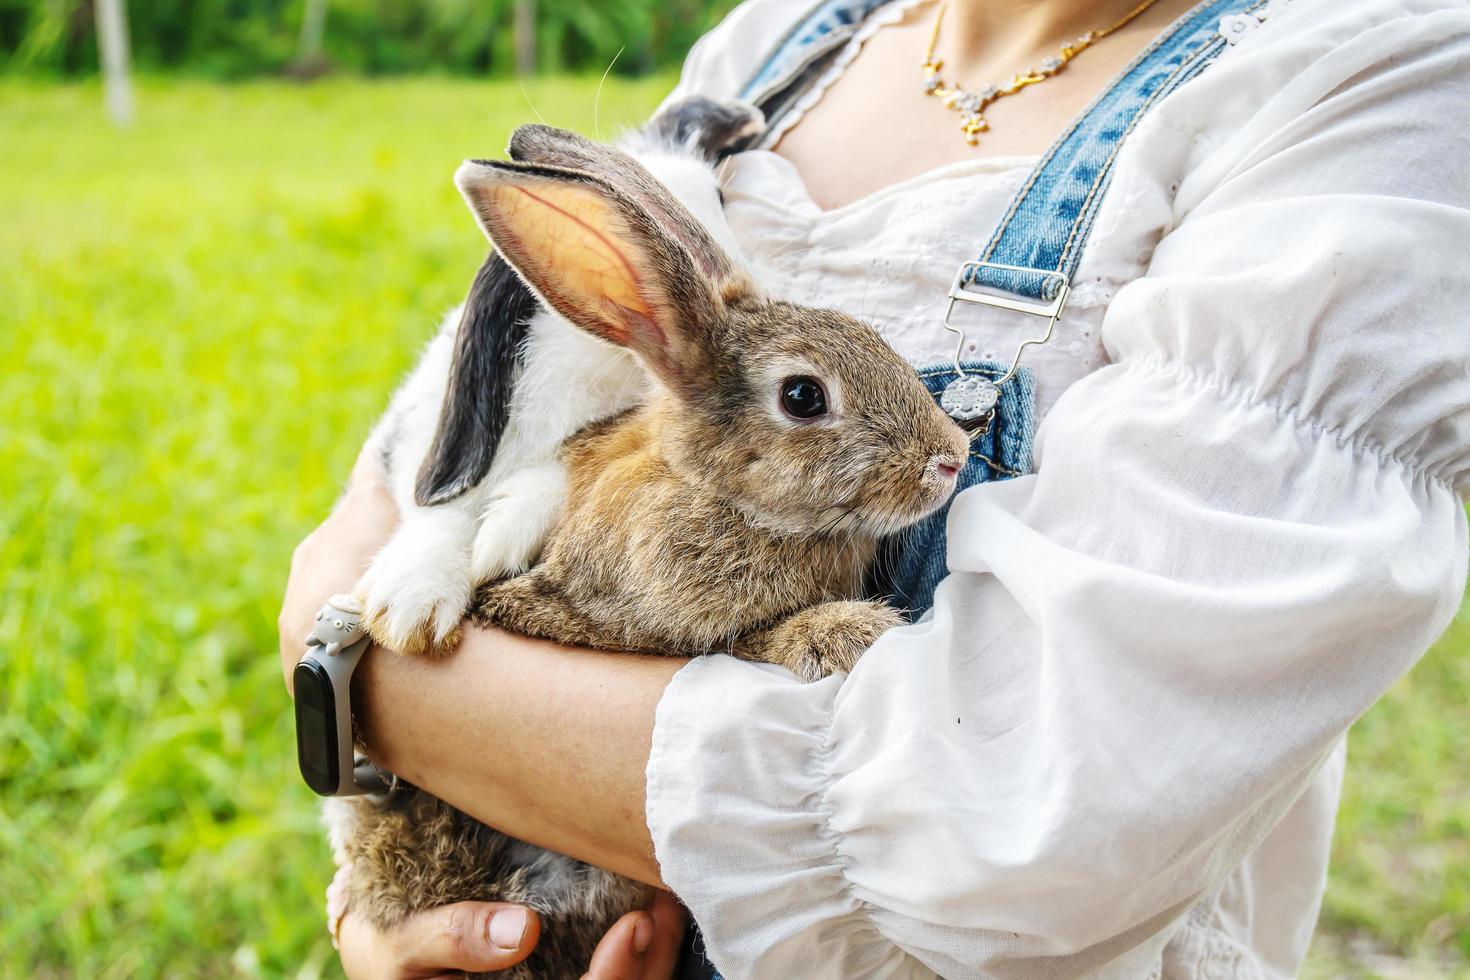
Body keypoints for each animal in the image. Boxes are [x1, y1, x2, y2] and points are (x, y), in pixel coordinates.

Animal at [355, 97, 770, 658]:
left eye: (720, 198)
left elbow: (580, 460)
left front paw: (502, 533)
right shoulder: (413, 429)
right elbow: (440, 506)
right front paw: (409, 601)